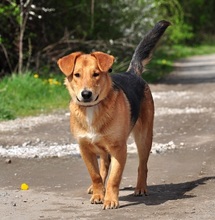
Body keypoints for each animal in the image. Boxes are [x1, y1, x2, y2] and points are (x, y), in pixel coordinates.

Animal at [57, 20, 170, 208]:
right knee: (103, 167)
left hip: (144, 137)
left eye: (96, 74)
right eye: (77, 75)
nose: (86, 94)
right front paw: (98, 194)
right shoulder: (84, 148)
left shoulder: (119, 148)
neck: (92, 109)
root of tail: (132, 72)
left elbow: (114, 178)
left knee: (142, 165)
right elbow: (95, 175)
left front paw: (110, 199)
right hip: (103, 148)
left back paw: (140, 188)